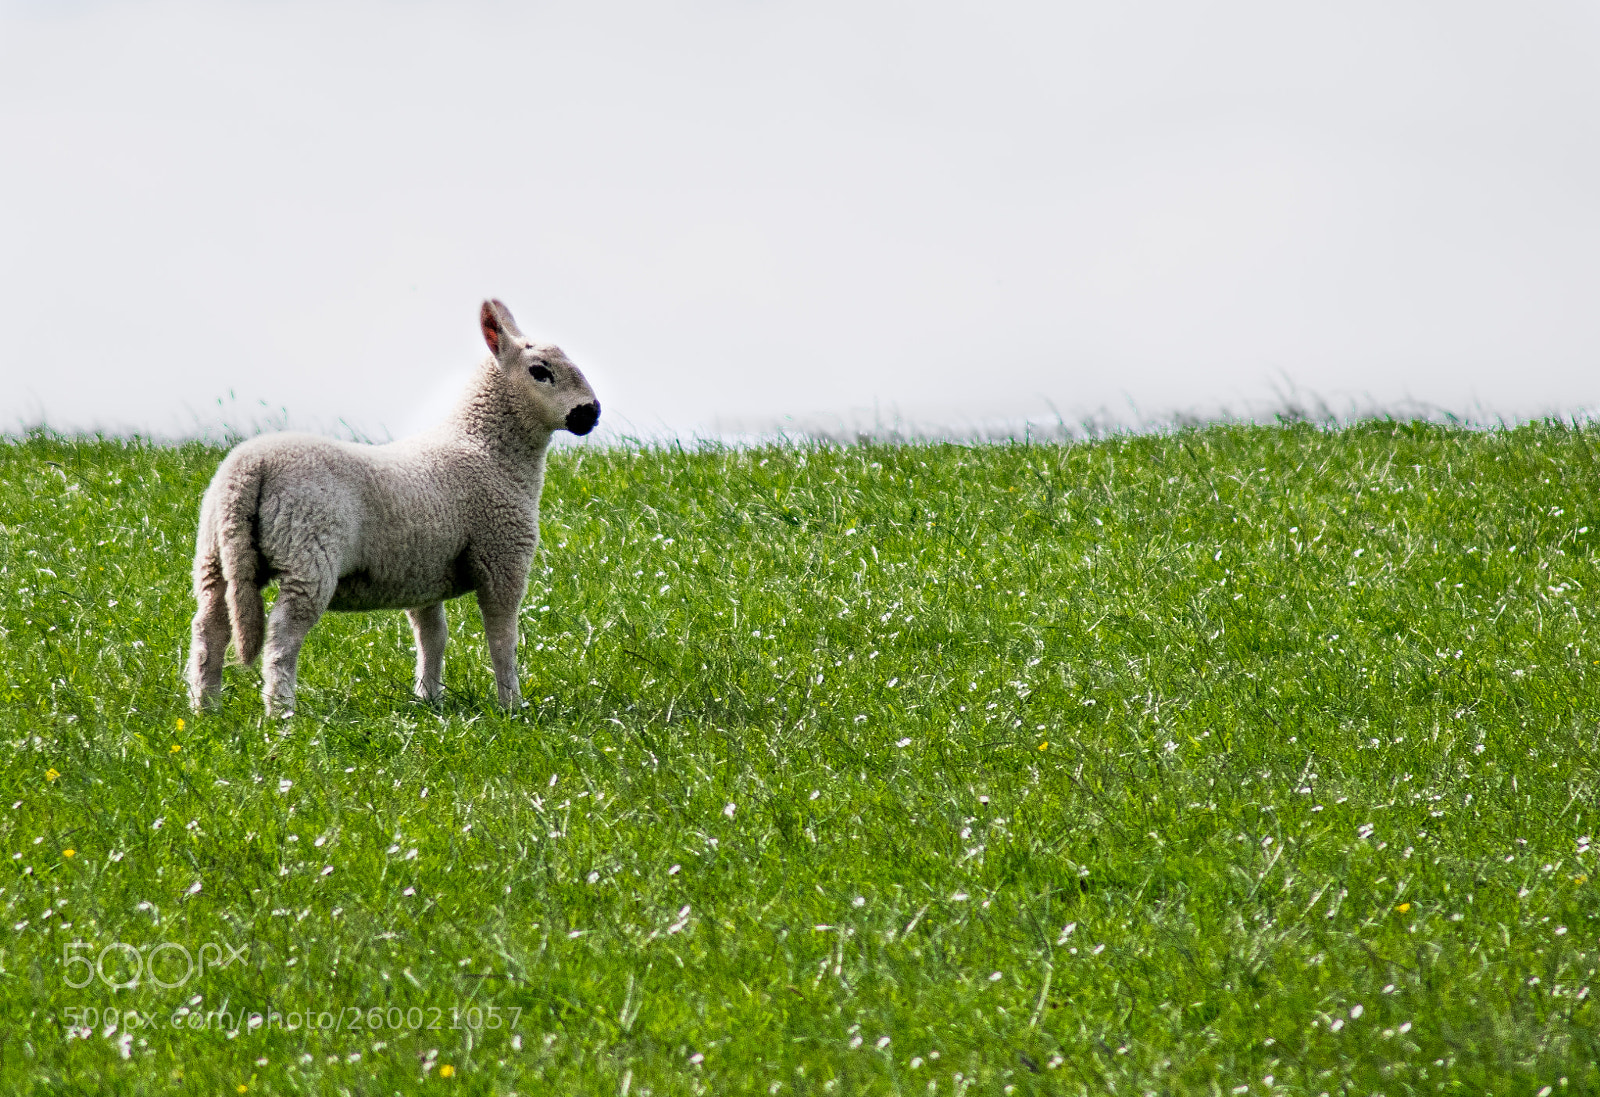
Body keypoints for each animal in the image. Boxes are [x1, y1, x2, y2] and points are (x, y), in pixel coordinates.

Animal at [185, 299, 600, 716]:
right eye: (540, 372)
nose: (591, 412)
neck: (485, 447)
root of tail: (249, 467)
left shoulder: (425, 572)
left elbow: (433, 636)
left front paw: (429, 699)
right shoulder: (502, 558)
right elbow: (502, 641)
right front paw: (512, 706)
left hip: (216, 552)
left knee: (209, 628)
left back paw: (205, 709)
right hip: (308, 554)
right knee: (281, 636)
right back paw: (281, 712)